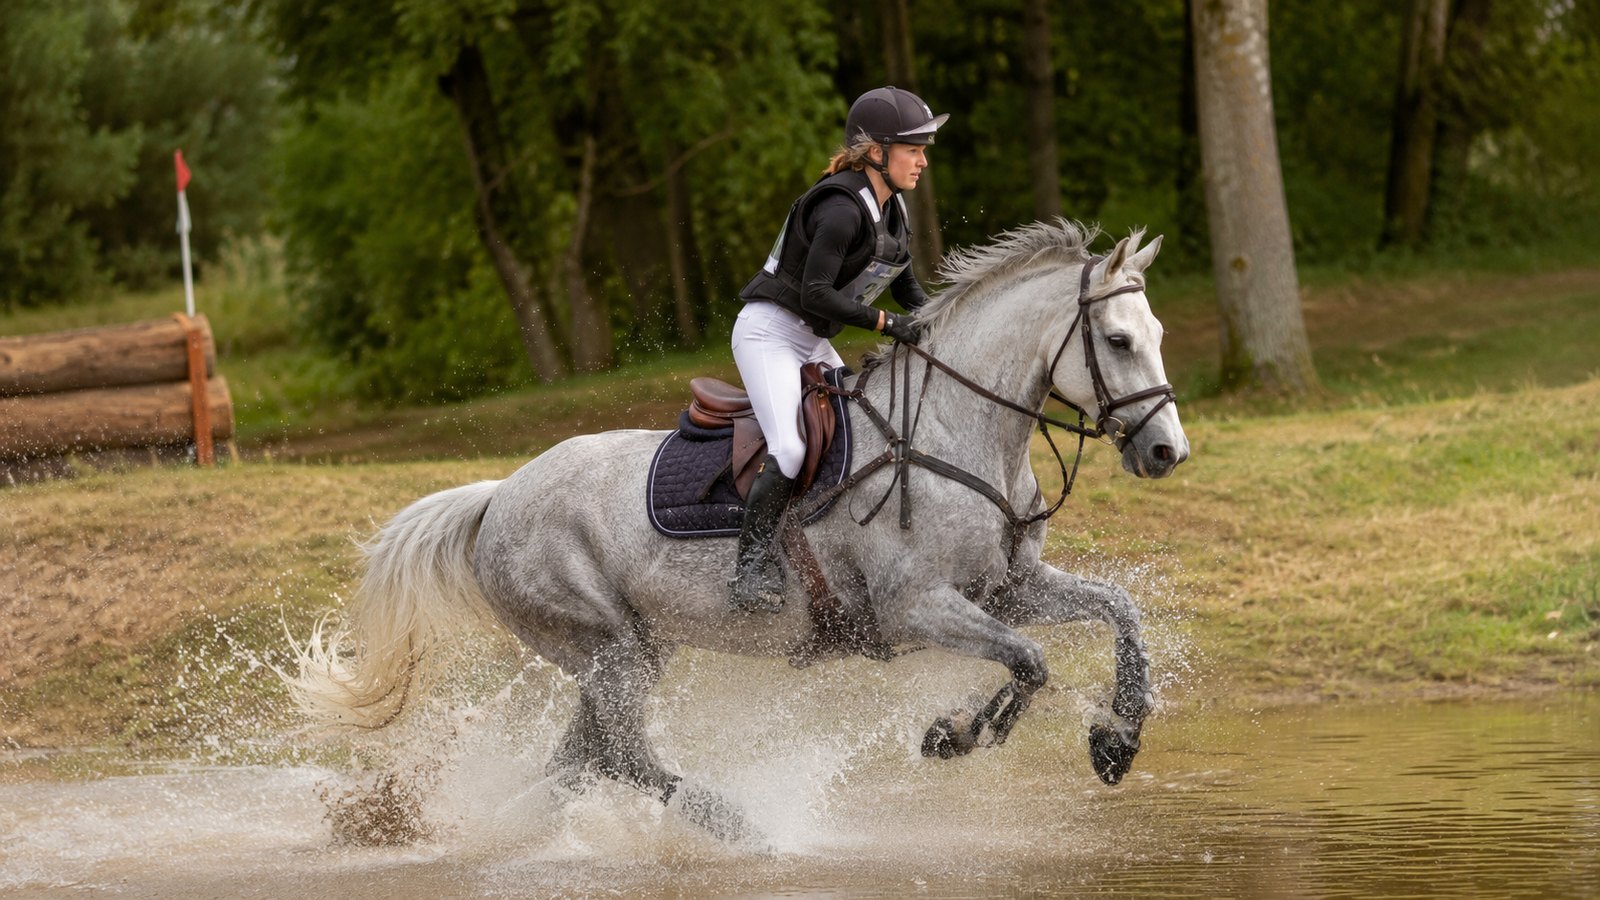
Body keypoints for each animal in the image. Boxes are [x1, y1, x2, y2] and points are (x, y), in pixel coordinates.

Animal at [283, 220, 1189, 843]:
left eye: (1157, 336)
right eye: (1116, 340)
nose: (1165, 451)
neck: (952, 431)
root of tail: (500, 494)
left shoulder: (1006, 588)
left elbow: (1116, 612)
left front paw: (1118, 740)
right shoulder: (915, 607)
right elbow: (1030, 662)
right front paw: (958, 734)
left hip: (628, 653)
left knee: (585, 758)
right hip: (607, 647)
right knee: (621, 756)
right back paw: (734, 823)